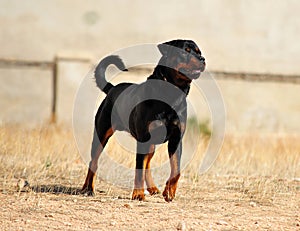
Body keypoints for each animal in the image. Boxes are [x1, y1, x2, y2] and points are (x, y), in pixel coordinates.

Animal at [81, 38, 205, 201]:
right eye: (185, 51)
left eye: (199, 52)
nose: (202, 59)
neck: (171, 93)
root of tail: (112, 88)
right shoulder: (144, 139)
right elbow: (138, 168)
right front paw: (138, 194)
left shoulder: (176, 139)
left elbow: (175, 170)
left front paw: (169, 191)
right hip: (101, 134)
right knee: (94, 161)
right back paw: (88, 188)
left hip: (150, 145)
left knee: (147, 164)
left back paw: (153, 188)